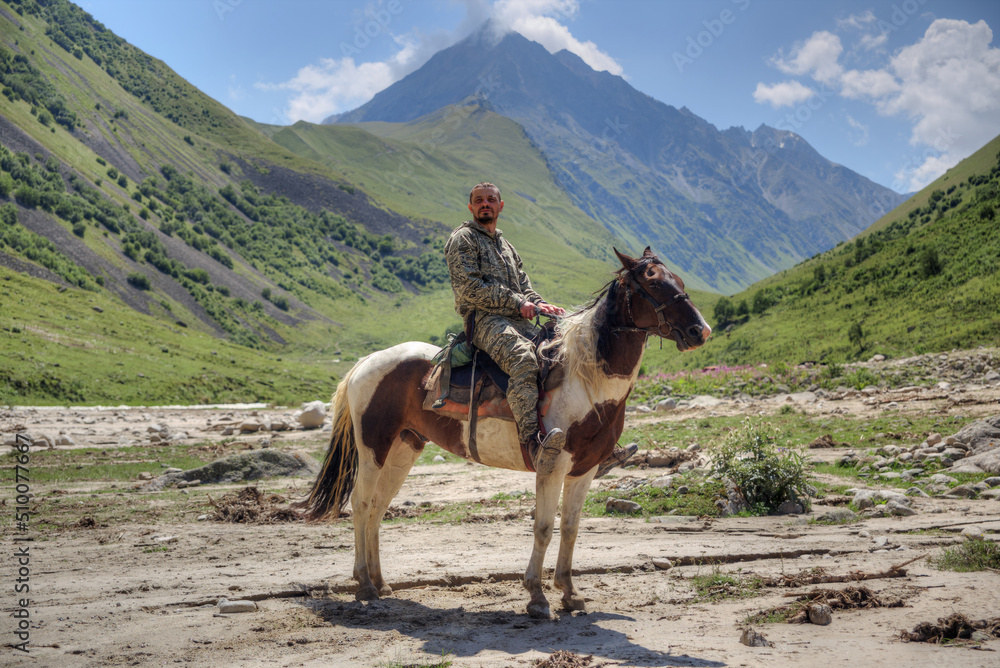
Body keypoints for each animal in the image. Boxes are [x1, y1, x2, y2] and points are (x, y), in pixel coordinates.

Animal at [301, 246, 711, 619]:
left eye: (680, 281)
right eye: (653, 282)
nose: (701, 331)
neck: (586, 379)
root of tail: (365, 363)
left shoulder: (585, 469)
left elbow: (571, 528)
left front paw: (570, 593)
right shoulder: (552, 464)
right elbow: (544, 527)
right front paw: (537, 598)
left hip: (404, 449)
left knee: (377, 508)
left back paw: (381, 583)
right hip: (373, 447)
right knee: (360, 504)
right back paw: (365, 586)